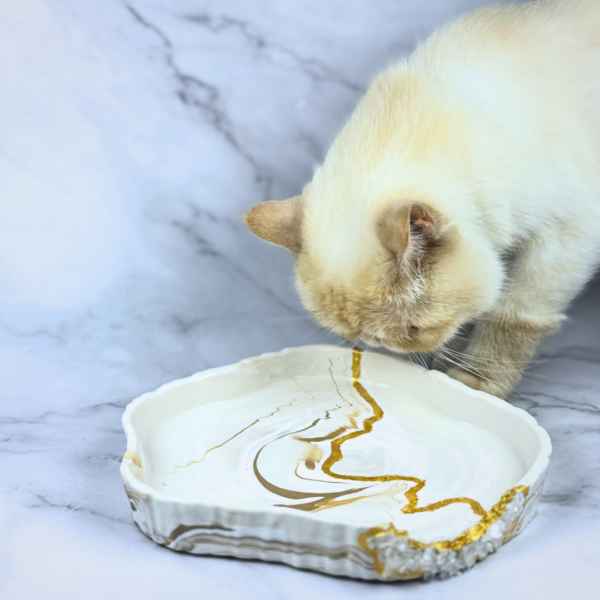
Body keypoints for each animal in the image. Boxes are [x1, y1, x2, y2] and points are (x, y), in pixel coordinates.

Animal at [244, 1, 600, 404]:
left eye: (413, 329)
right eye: (359, 338)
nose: (392, 351)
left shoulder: (566, 235)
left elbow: (512, 317)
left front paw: (477, 381)